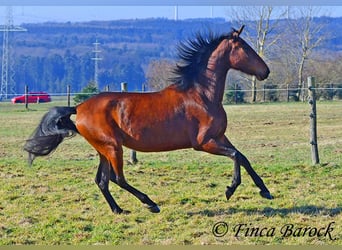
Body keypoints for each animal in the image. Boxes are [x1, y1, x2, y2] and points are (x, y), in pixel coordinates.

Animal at [24, 25, 274, 214]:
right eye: (246, 48)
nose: (266, 72)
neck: (201, 94)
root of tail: (79, 107)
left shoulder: (219, 136)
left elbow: (243, 156)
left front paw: (265, 191)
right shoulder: (204, 142)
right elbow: (235, 156)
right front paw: (230, 189)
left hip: (103, 149)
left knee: (102, 180)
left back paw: (119, 210)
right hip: (113, 147)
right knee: (117, 178)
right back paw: (151, 204)